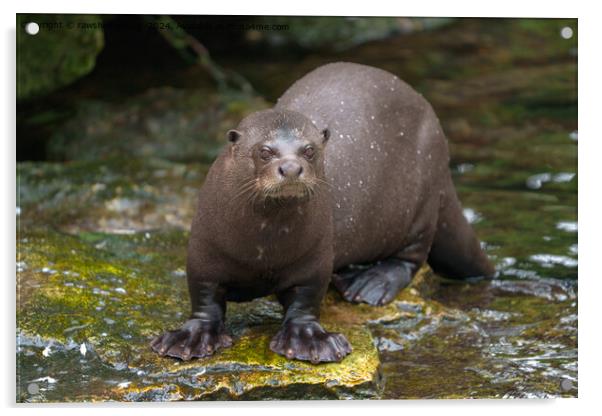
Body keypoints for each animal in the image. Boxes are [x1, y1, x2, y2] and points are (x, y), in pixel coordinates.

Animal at [151, 62, 492, 364]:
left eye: (310, 150)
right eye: (265, 151)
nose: (291, 168)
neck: (262, 249)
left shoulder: (314, 256)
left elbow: (306, 299)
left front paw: (309, 341)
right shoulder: (203, 250)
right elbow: (204, 297)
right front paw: (191, 338)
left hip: (423, 195)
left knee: (413, 254)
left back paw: (370, 283)